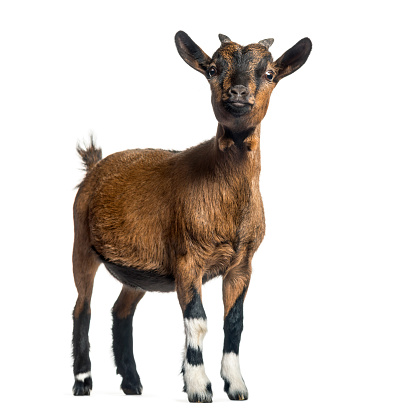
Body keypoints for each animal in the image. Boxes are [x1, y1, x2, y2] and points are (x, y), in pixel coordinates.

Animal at [71, 29, 312, 402]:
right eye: (212, 69)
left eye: (270, 73)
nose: (238, 93)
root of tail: (95, 166)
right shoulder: (188, 260)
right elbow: (197, 321)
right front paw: (199, 387)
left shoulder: (242, 264)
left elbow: (234, 321)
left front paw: (235, 385)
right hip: (81, 243)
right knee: (82, 307)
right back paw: (83, 381)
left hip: (138, 272)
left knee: (121, 310)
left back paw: (132, 383)